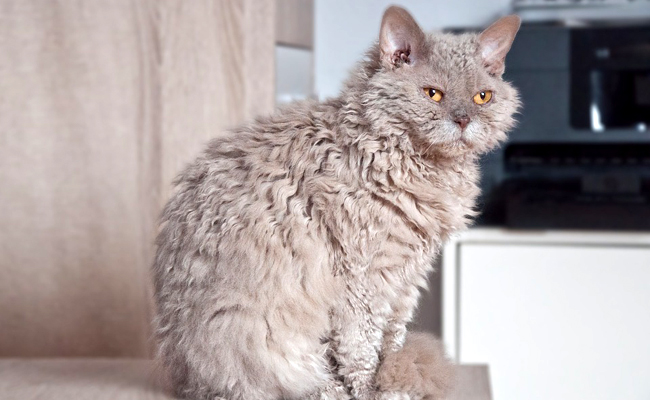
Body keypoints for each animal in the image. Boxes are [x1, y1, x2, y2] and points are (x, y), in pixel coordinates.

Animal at [149, 6, 520, 400]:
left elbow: (392, 342)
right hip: (254, 333)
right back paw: (329, 391)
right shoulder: (363, 276)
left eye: (483, 97)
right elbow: (361, 350)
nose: (464, 120)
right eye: (433, 94)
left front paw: (392, 384)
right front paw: (371, 391)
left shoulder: (407, 277)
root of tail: (184, 377)